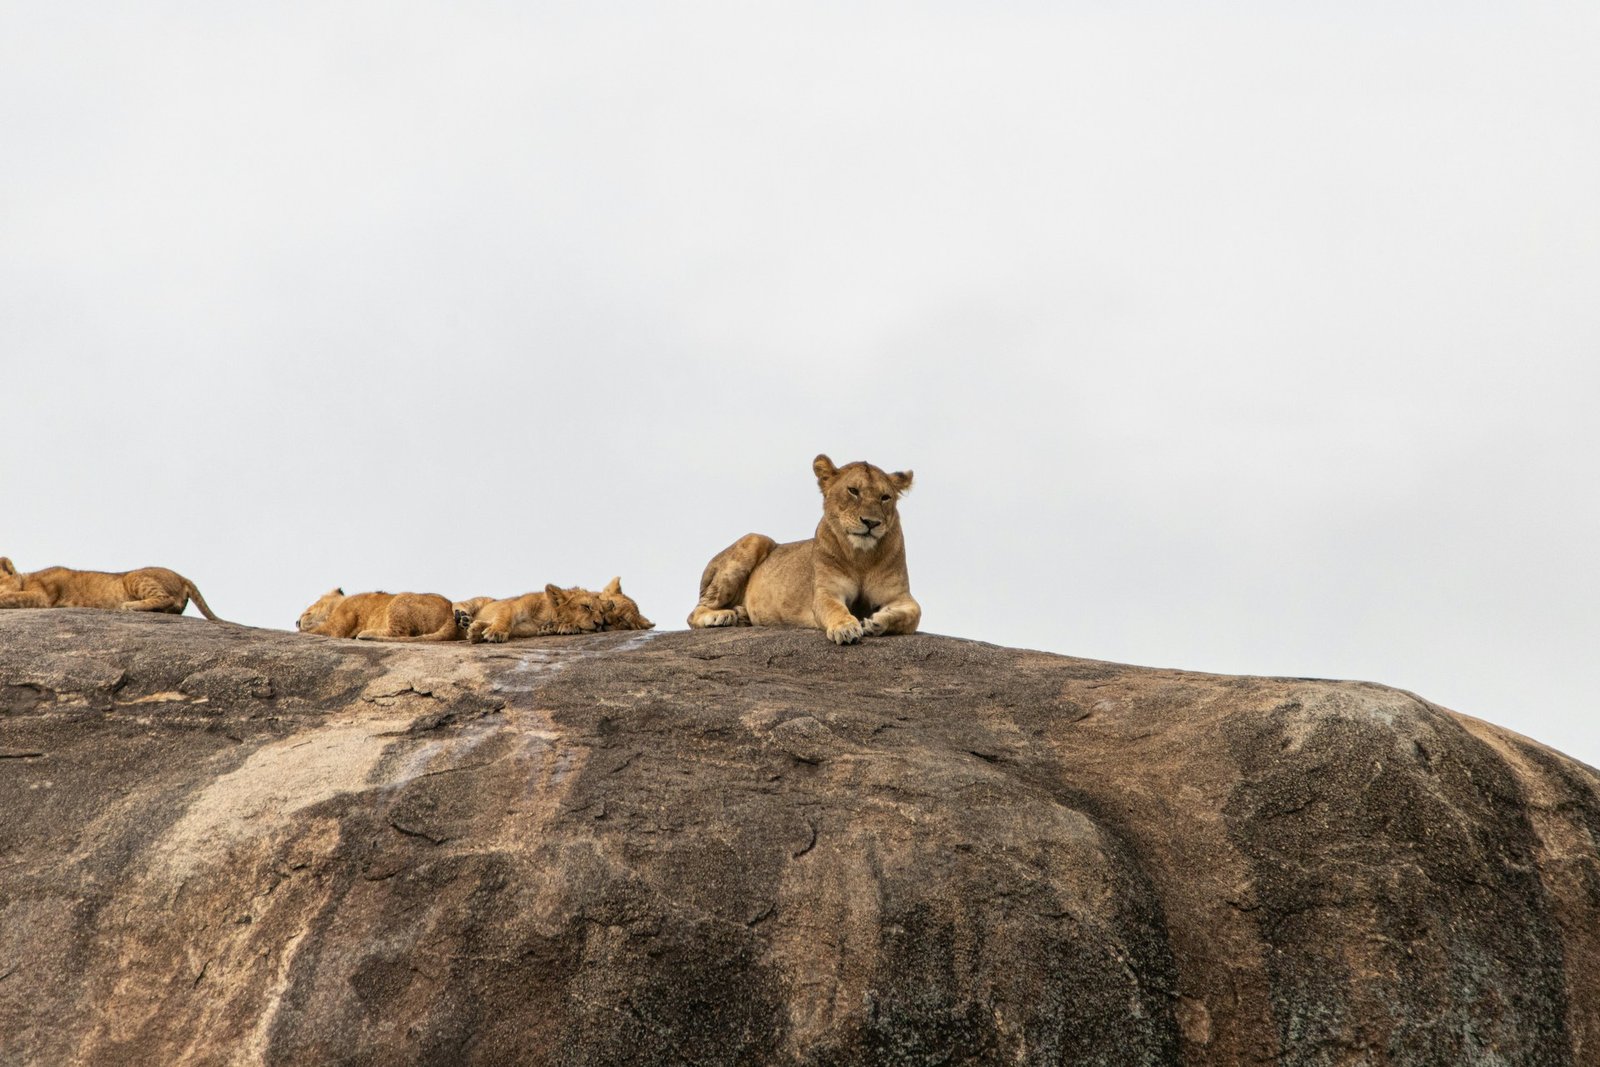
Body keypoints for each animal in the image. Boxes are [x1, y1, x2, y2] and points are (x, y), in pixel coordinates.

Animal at [0, 557, 220, 619]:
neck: (26, 579)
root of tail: (182, 577)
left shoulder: (42, 596)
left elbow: (10, 597)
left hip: (134, 576)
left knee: (166, 598)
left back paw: (130, 606)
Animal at [295, 589, 461, 641]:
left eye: (309, 608)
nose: (296, 622)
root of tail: (449, 612)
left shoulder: (337, 625)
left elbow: (319, 630)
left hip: (398, 600)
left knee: (399, 633)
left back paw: (365, 634)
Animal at [467, 585, 605, 644]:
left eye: (602, 613)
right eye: (586, 606)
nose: (599, 624)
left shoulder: (528, 628)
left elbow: (512, 629)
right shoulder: (513, 606)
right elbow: (504, 618)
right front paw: (495, 632)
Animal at [687, 454, 920, 644]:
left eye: (885, 497)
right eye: (853, 491)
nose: (871, 523)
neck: (862, 557)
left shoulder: (899, 596)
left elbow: (914, 613)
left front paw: (877, 622)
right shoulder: (826, 592)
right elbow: (834, 608)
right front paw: (845, 628)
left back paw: (742, 615)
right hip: (754, 539)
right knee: (694, 612)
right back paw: (721, 615)